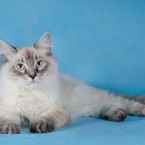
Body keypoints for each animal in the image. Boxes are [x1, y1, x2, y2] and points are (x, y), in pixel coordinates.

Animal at [0, 32, 144, 134]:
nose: (32, 76)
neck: (32, 94)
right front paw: (9, 129)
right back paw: (116, 115)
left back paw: (137, 111)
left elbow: (45, 117)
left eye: (39, 63)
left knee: (123, 102)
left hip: (91, 97)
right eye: (20, 66)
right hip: (84, 107)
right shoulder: (6, 110)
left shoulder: (57, 110)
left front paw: (39, 125)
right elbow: (8, 118)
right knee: (100, 107)